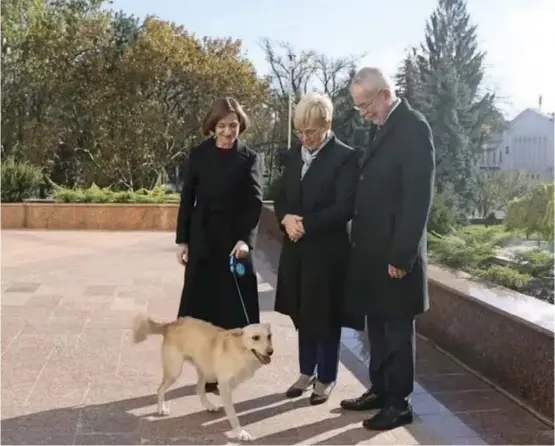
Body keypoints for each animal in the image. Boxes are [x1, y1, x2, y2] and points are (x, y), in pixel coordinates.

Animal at [133, 316, 276, 440]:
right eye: (255, 338)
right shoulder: (224, 387)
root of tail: (171, 324)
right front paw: (240, 433)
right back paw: (161, 409)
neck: (240, 350)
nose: (270, 352)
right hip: (175, 371)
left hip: (205, 370)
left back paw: (208, 405)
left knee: (199, 388)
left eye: (269, 336)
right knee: (160, 389)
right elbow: (233, 415)